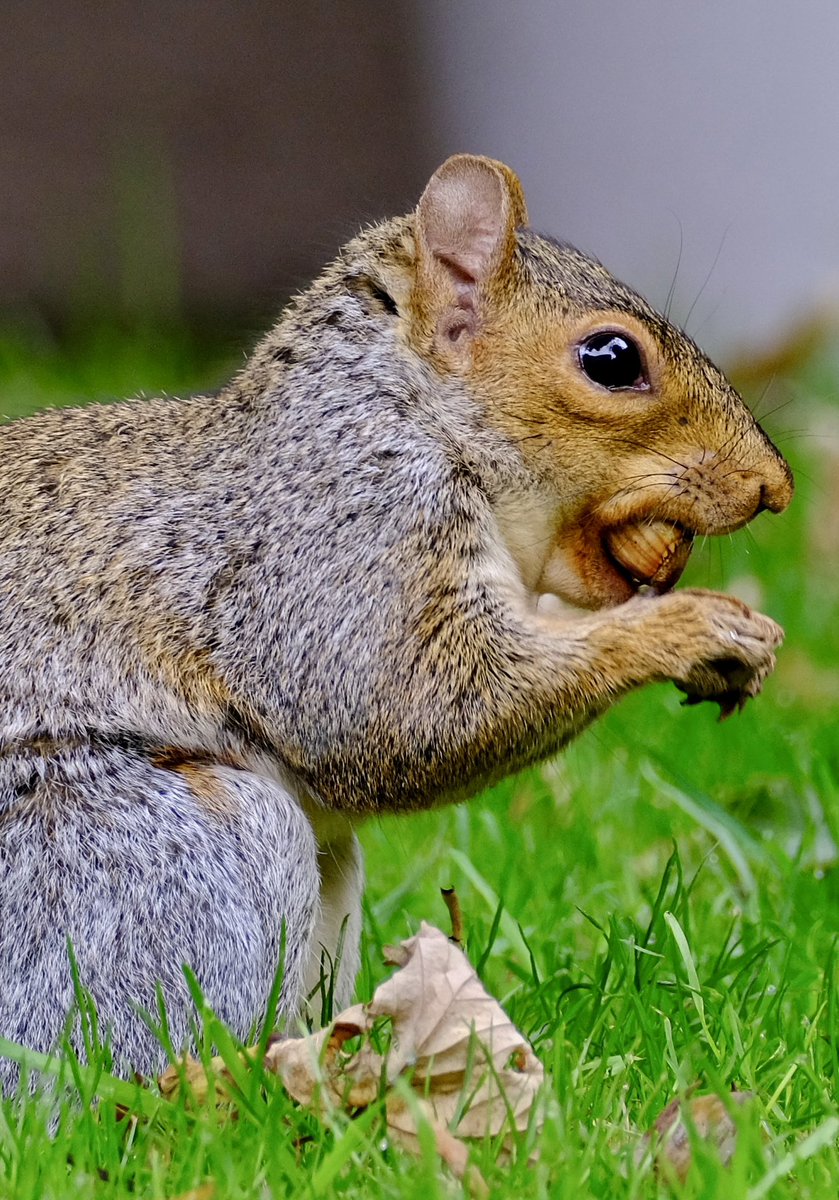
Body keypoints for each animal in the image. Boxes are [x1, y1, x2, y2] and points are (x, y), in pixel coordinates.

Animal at [0, 155, 792, 1086]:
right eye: (610, 357)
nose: (772, 486)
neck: (404, 413)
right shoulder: (339, 542)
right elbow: (405, 713)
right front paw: (691, 629)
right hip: (148, 868)